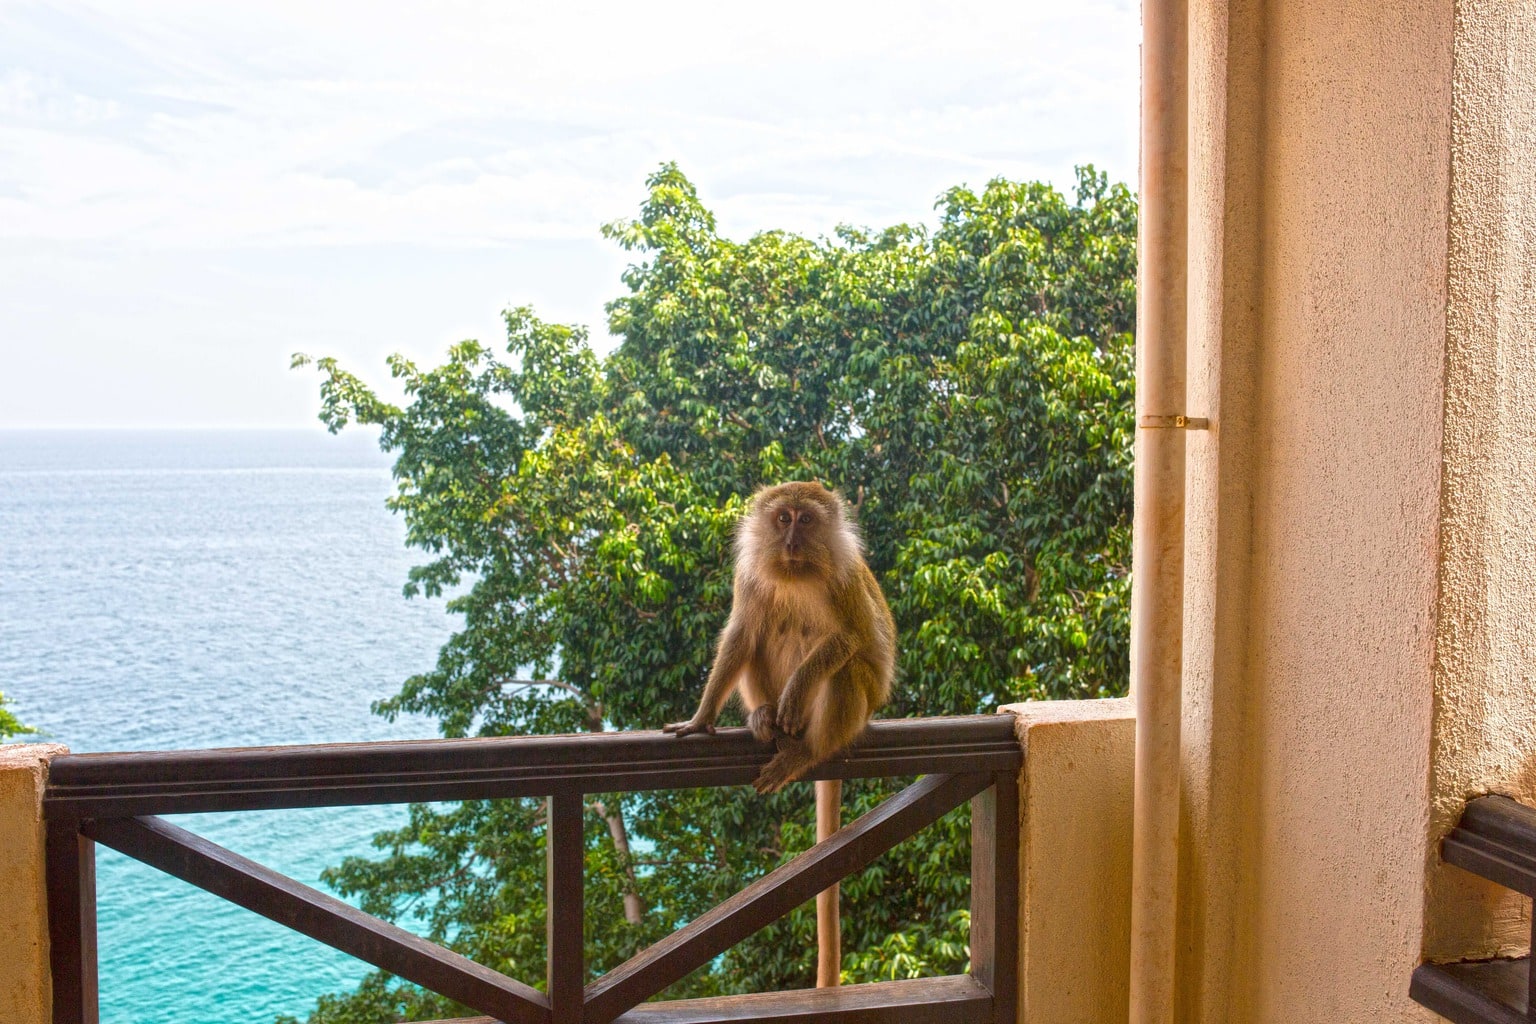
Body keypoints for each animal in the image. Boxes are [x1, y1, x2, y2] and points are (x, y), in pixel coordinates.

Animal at [663, 478, 897, 792]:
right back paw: (764, 714)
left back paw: (807, 752)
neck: (796, 573)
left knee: (847, 670)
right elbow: (741, 636)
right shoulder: (747, 574)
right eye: (784, 518)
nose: (791, 543)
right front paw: (700, 719)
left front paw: (797, 688)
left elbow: (852, 635)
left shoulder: (844, 576)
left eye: (806, 520)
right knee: (755, 641)